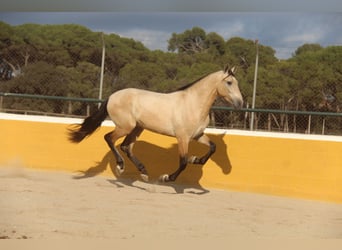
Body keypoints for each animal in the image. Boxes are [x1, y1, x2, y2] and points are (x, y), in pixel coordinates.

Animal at [67, 66, 243, 184]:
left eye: (236, 82)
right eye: (229, 82)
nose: (240, 103)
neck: (193, 104)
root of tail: (112, 96)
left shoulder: (197, 135)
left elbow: (213, 147)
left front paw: (197, 160)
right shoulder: (183, 138)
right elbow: (183, 162)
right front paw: (167, 177)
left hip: (137, 128)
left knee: (125, 146)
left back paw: (143, 172)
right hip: (126, 127)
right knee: (109, 138)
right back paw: (121, 166)